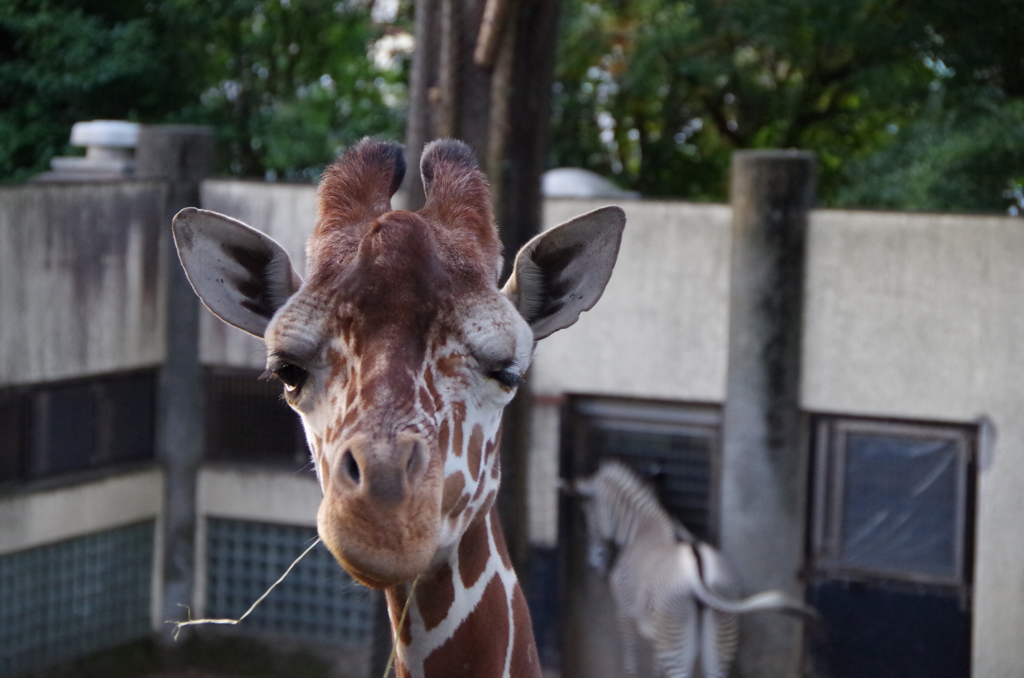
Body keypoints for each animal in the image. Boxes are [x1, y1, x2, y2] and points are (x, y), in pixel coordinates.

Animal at [577, 462, 815, 678]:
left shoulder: (625, 613)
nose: (594, 566)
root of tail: (700, 576)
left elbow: (631, 663)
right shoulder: (656, 633)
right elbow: (655, 668)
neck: (642, 531)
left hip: (675, 638)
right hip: (720, 634)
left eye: (588, 514)